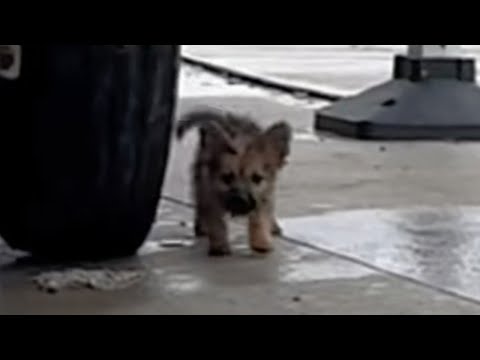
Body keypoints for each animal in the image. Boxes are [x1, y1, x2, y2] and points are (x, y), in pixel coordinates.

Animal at [175, 107, 290, 256]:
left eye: (256, 178)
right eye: (227, 178)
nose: (239, 201)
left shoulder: (263, 194)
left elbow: (260, 218)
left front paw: (261, 242)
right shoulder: (210, 192)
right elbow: (216, 221)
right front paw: (219, 244)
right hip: (200, 180)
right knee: (200, 205)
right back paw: (202, 226)